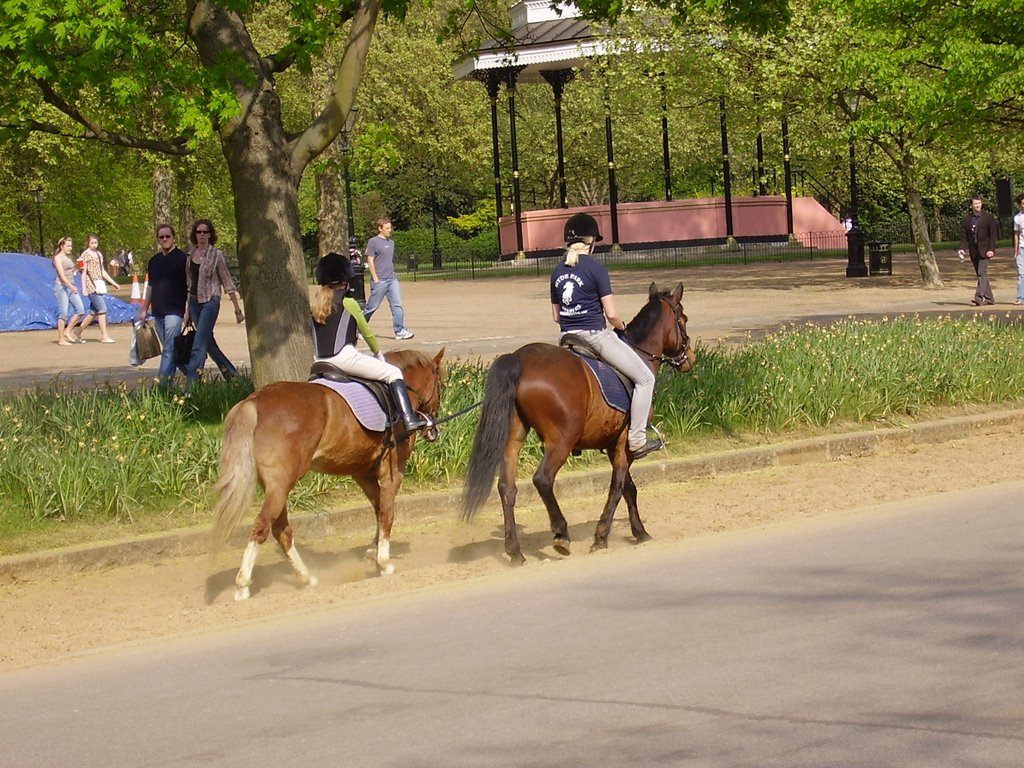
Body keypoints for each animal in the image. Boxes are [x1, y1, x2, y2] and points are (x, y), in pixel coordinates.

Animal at [210, 350, 444, 602]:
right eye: (440, 384)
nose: (432, 429)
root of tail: (254, 400)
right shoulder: (392, 472)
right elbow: (387, 513)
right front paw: (383, 562)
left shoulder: (362, 473)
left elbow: (378, 510)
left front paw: (371, 554)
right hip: (281, 484)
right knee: (262, 527)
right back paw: (243, 585)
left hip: (275, 487)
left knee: (280, 529)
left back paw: (306, 578)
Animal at [462, 282, 696, 565]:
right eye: (683, 320)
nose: (690, 358)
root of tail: (520, 359)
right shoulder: (623, 444)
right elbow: (618, 487)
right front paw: (602, 536)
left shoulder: (613, 445)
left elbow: (629, 488)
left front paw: (639, 532)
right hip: (561, 441)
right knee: (542, 479)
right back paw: (561, 534)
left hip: (513, 438)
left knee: (507, 488)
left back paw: (515, 551)